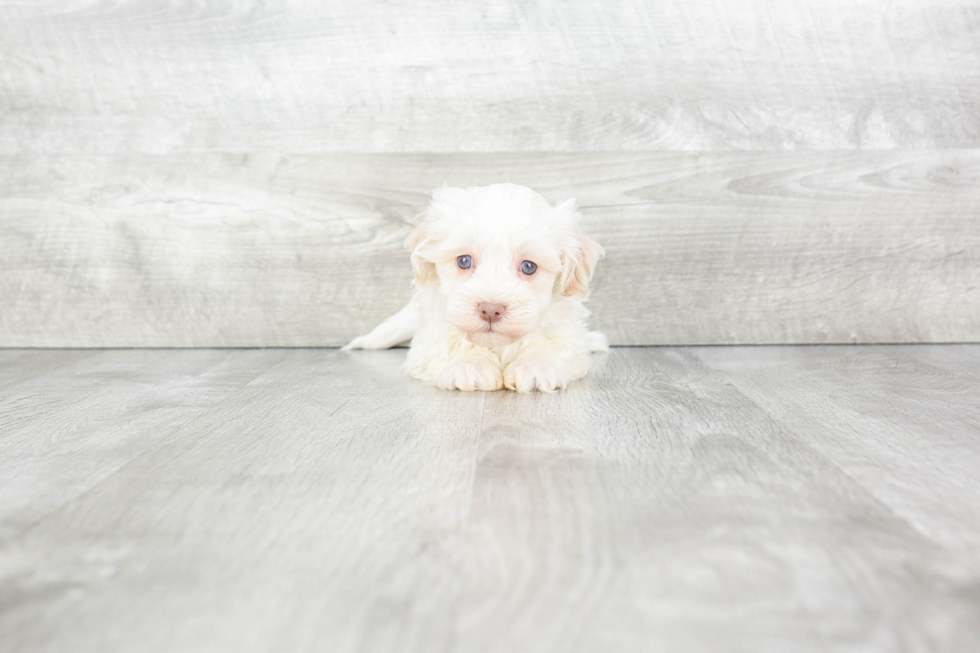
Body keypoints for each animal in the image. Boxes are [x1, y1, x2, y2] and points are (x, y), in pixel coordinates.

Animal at [344, 181, 604, 390]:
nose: (490, 309)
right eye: (464, 261)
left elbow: (554, 345)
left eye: (529, 266)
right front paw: (469, 366)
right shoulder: (428, 341)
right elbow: (449, 344)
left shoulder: (565, 334)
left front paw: (536, 366)